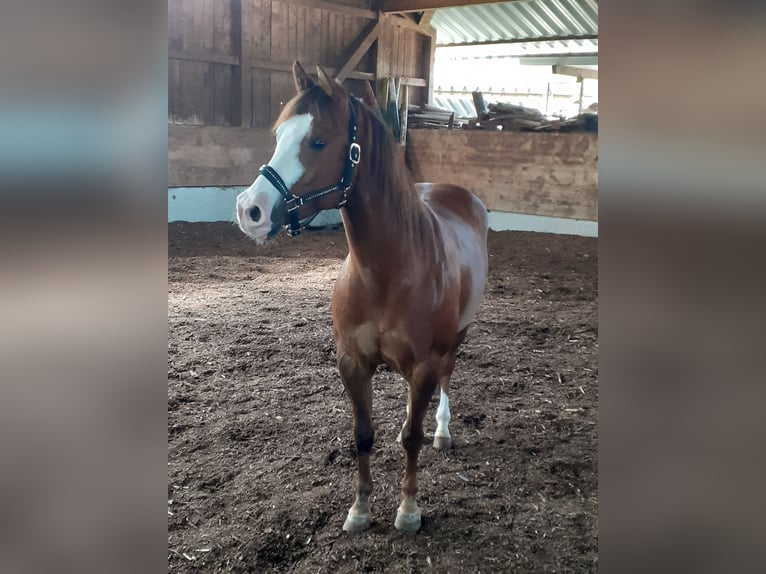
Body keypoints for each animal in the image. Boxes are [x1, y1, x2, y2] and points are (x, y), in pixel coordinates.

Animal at [237, 63, 488, 536]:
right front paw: (360, 510)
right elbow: (363, 435)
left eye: (318, 141)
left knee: (447, 378)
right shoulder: (351, 364)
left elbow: (412, 437)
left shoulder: (423, 364)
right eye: (278, 135)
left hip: (457, 337)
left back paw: (443, 431)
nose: (250, 210)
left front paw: (408, 511)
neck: (387, 273)